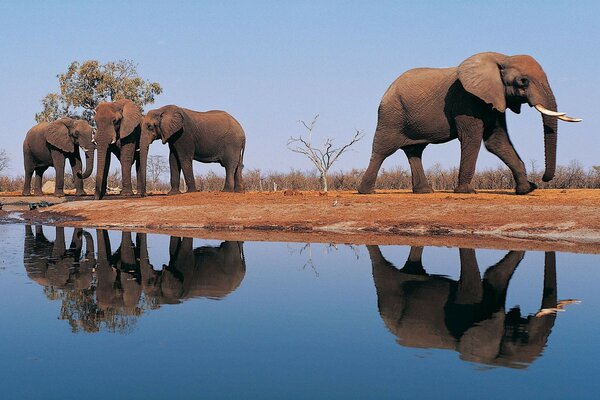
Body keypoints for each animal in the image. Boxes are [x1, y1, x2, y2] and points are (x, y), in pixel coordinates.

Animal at [356, 52, 580, 196]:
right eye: (523, 81)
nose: (543, 179)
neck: (501, 59)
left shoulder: (493, 100)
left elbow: (497, 142)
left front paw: (526, 190)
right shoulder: (466, 100)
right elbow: (472, 139)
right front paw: (467, 192)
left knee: (415, 151)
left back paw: (424, 192)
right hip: (390, 115)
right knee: (382, 150)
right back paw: (366, 192)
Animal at [370, 245, 564, 368]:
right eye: (522, 337)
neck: (496, 362)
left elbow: (496, 274)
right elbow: (475, 285)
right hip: (390, 298)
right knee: (382, 269)